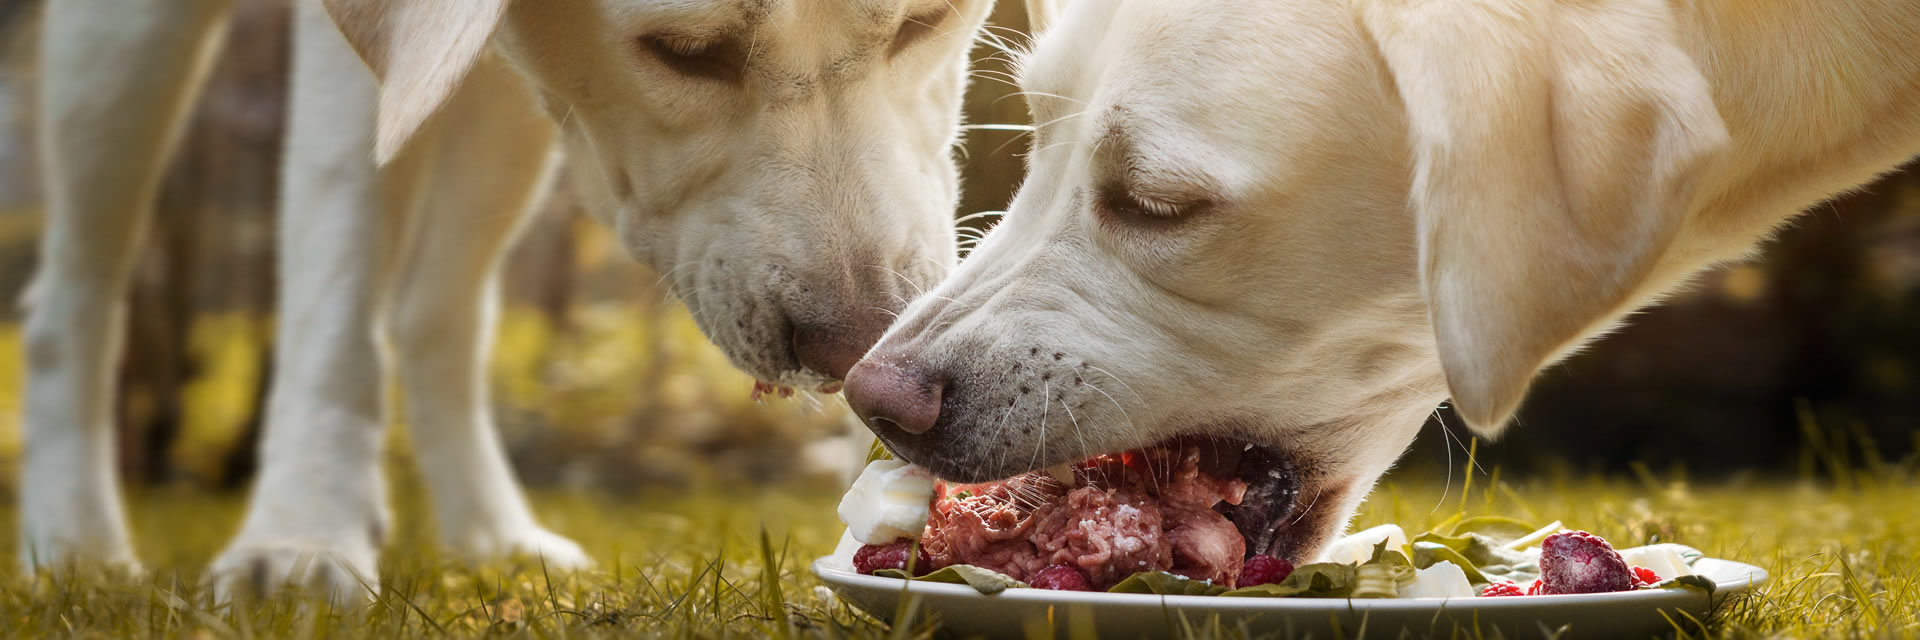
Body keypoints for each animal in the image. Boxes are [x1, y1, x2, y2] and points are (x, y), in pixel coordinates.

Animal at [22, 0, 990, 599]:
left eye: (926, 21)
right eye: (683, 51)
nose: (858, 349)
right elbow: (336, 272)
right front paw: (301, 538)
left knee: (433, 315)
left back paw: (492, 533)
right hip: (124, 50)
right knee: (72, 298)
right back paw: (76, 545)